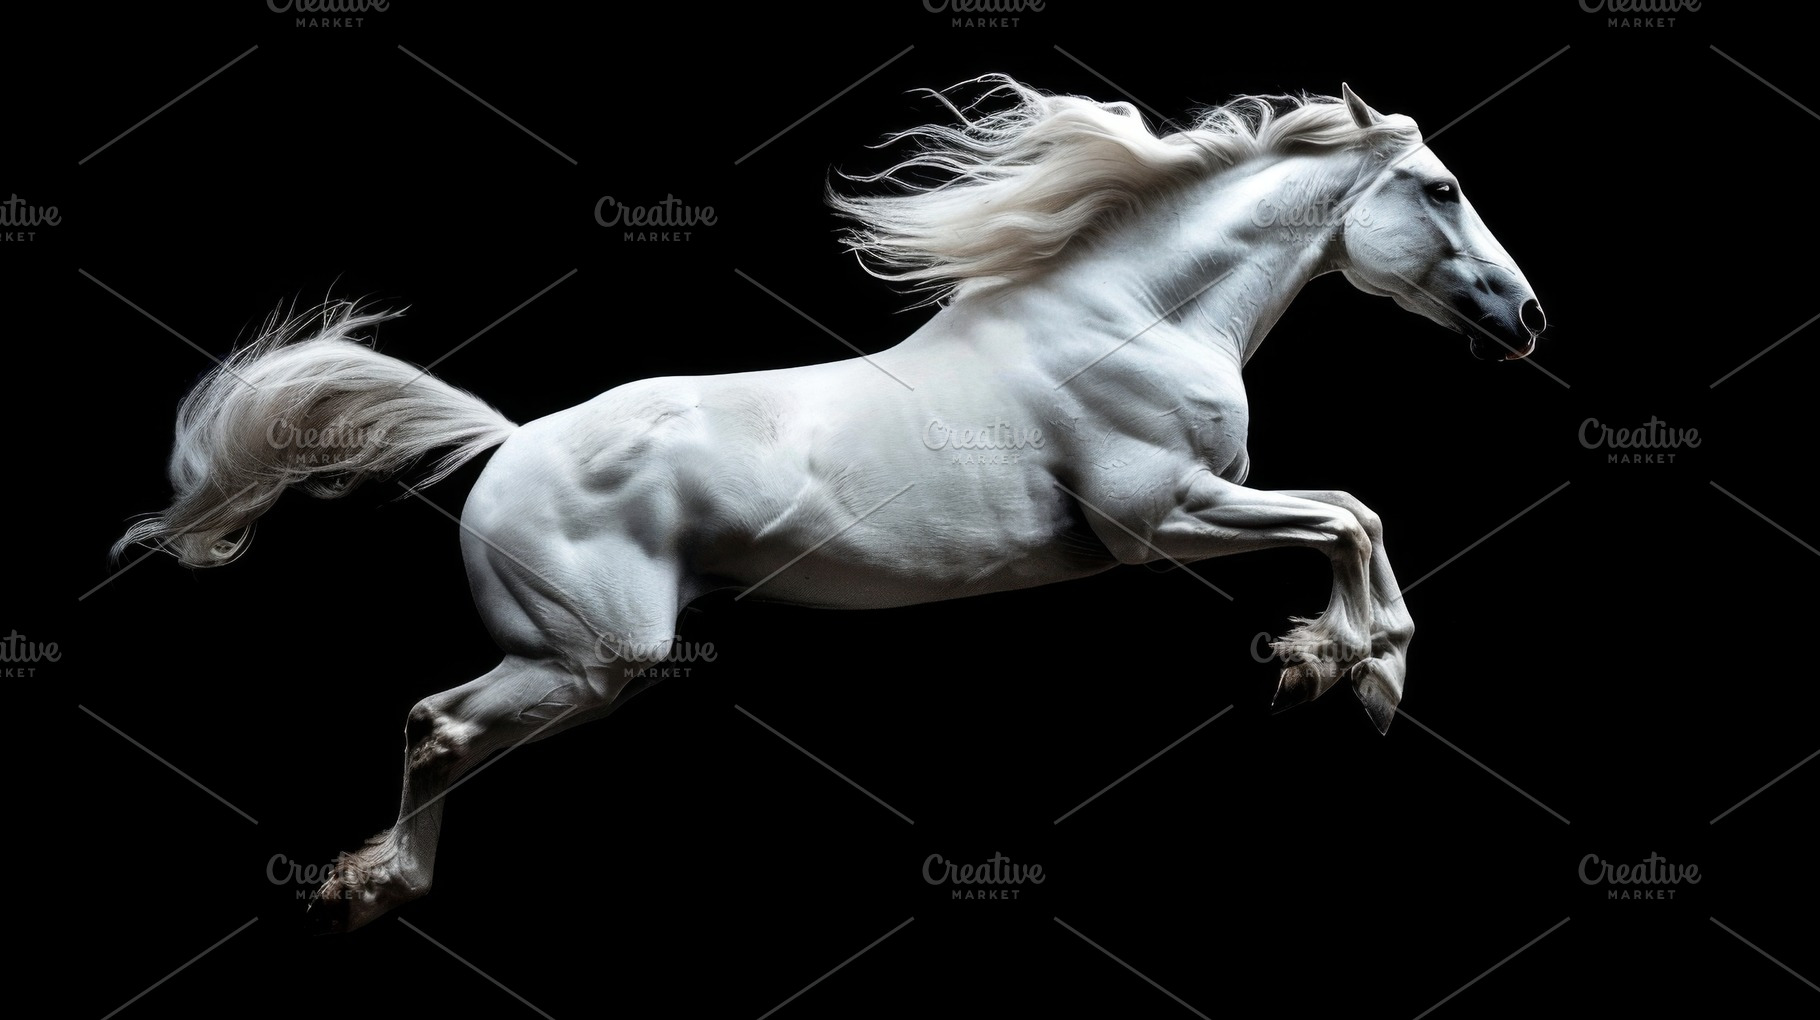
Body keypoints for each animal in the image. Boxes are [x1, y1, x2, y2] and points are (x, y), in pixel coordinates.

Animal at [112, 76, 1546, 932]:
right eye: (1440, 189)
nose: (1526, 317)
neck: (1131, 316)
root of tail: (509, 446)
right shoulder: (1165, 519)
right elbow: (1351, 514)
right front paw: (1350, 669)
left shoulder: (1194, 510)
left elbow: (1352, 514)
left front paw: (1345, 667)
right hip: (592, 657)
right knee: (438, 724)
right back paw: (375, 884)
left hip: (578, 662)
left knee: (442, 727)